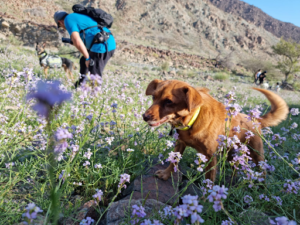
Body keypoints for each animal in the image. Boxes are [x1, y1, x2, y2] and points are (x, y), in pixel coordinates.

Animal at [143, 80, 288, 182]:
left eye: (169, 101)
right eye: (154, 97)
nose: (145, 116)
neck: (191, 121)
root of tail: (256, 119)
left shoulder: (210, 157)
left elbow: (210, 178)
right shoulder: (180, 144)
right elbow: (174, 161)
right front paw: (166, 174)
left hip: (256, 154)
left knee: (262, 171)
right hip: (231, 154)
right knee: (235, 168)